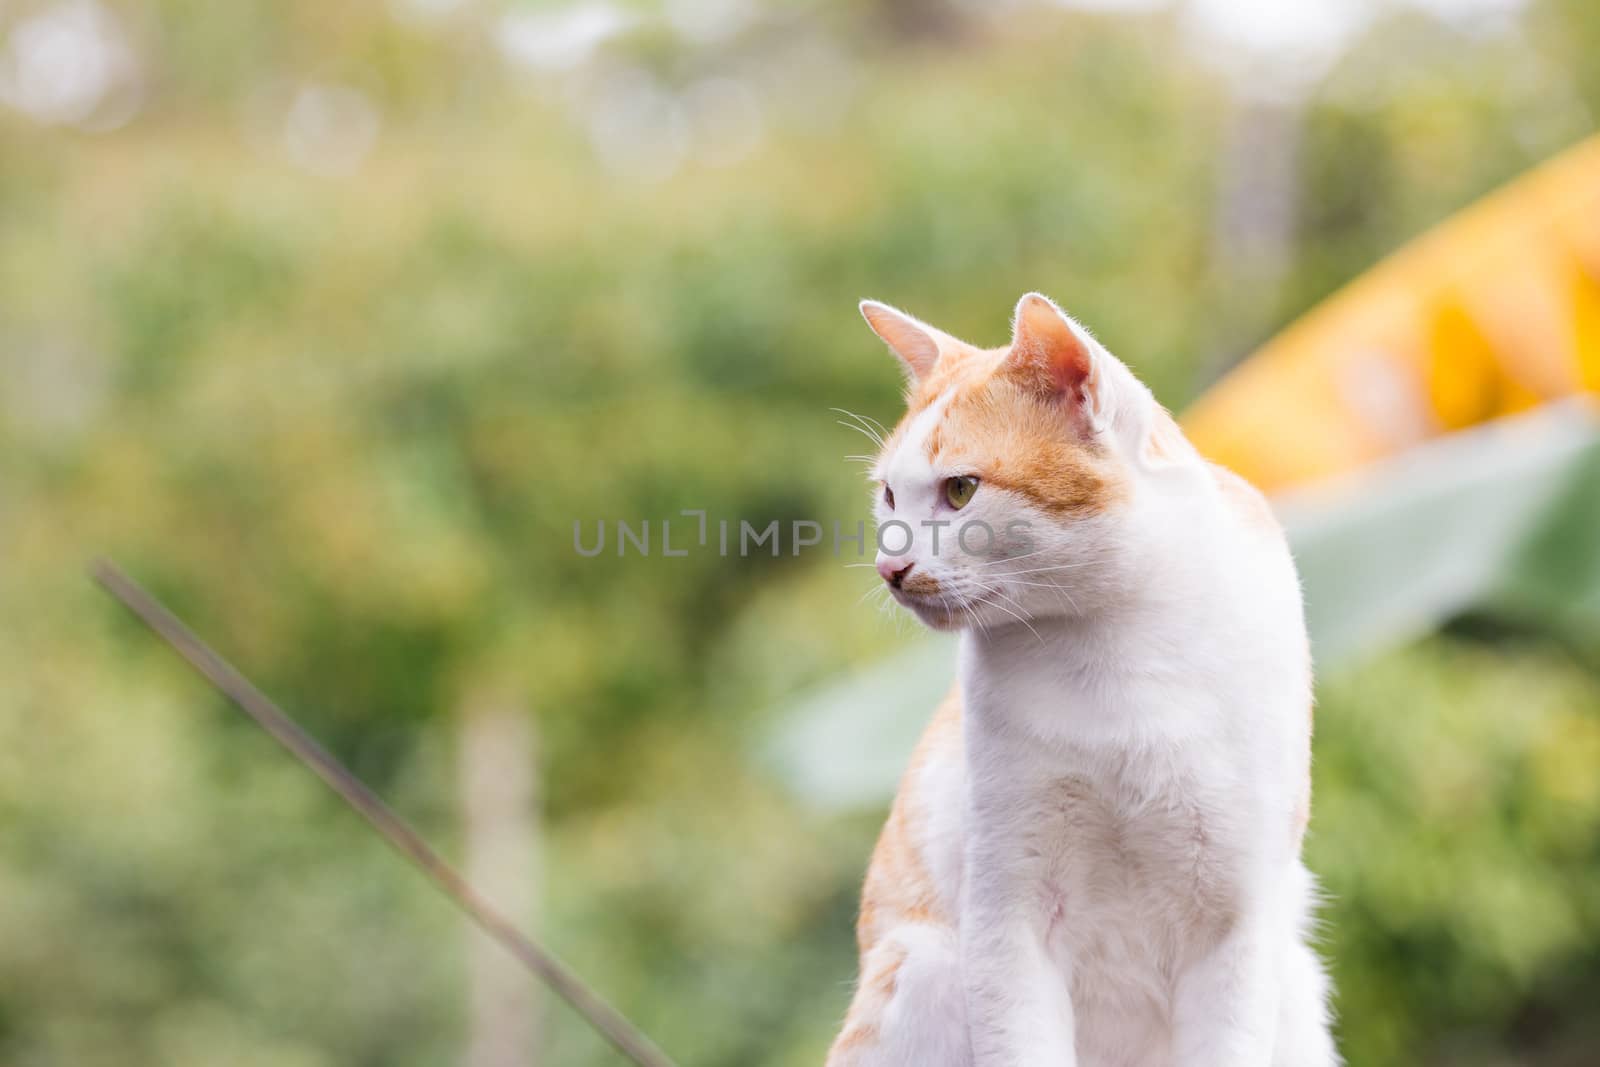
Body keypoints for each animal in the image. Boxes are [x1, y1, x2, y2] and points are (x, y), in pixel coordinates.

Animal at [825, 294, 1337, 1067]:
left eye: (960, 490)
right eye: (888, 496)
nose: (891, 567)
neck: (1116, 646)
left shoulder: (1238, 919)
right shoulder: (1007, 915)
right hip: (926, 965)